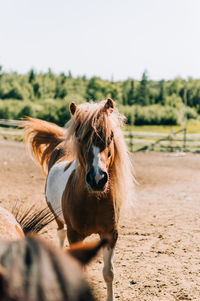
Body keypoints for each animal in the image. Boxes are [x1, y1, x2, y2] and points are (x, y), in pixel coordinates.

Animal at [23, 97, 134, 298]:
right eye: (80, 138)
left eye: (110, 136)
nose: (97, 179)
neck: (94, 201)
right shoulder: (74, 236)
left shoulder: (110, 234)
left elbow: (108, 273)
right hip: (58, 219)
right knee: (59, 234)